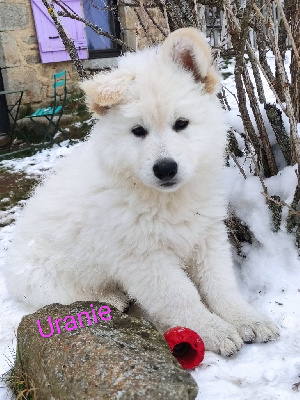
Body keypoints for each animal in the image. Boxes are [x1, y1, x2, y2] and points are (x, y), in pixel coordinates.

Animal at [5, 28, 278, 356]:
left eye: (181, 124)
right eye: (138, 131)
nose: (165, 168)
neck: (167, 200)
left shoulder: (207, 235)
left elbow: (220, 284)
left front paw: (246, 318)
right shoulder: (144, 258)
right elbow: (181, 296)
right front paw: (214, 330)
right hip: (44, 277)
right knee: (66, 296)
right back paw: (110, 298)